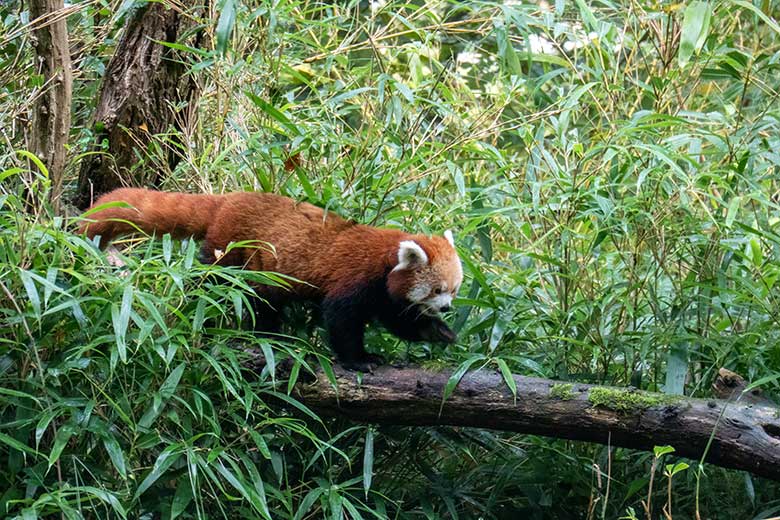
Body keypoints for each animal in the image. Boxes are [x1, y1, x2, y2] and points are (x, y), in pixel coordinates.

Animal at [80, 188, 464, 370]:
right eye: (437, 289)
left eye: (454, 290)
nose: (447, 307)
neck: (386, 258)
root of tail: (228, 200)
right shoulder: (355, 278)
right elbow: (341, 320)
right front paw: (359, 359)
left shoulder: (384, 294)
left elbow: (399, 321)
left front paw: (439, 332)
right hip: (231, 250)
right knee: (217, 284)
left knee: (263, 301)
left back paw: (268, 336)